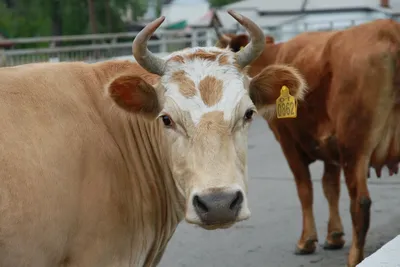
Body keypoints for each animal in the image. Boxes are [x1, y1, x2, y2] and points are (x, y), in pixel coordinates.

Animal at [217, 19, 400, 267]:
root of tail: (389, 29)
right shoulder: (330, 147)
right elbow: (330, 188)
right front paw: (334, 236)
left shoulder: (288, 143)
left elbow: (305, 189)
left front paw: (307, 241)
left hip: (354, 147)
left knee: (360, 202)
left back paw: (354, 257)